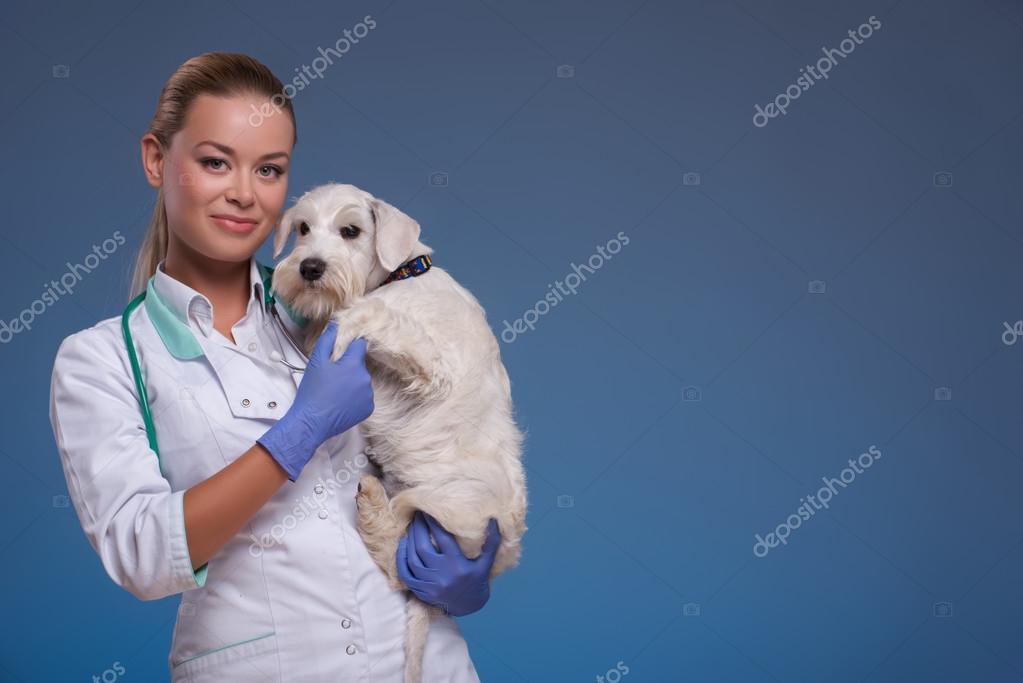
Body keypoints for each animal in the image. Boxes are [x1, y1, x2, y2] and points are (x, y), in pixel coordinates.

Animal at [268, 183, 531, 683]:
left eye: (351, 230)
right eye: (302, 228)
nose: (309, 267)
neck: (400, 275)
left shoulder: (430, 363)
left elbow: (364, 315)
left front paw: (334, 335)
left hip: (443, 505)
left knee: (396, 564)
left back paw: (371, 502)